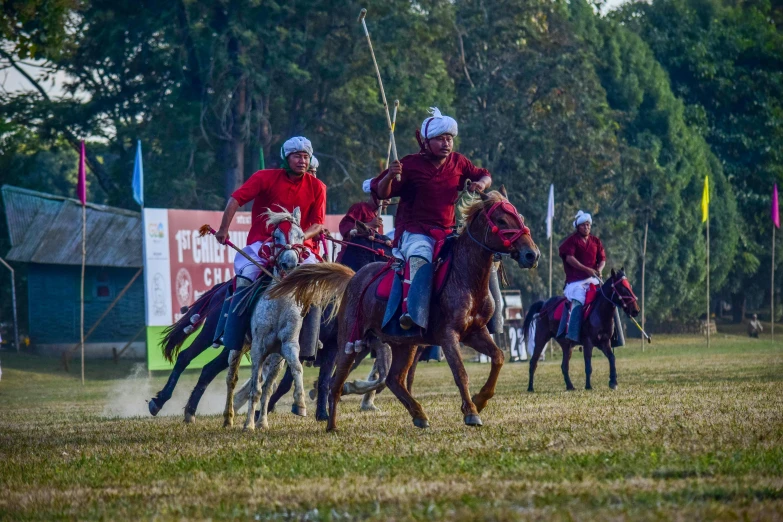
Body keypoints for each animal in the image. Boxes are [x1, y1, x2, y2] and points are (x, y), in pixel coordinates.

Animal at [270, 189, 540, 428]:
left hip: (403, 344)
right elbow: (460, 372)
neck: (464, 277)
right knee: (337, 381)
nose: (532, 254)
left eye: (518, 217)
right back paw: (331, 423)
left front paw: (480, 400)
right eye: (501, 219)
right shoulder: (448, 336)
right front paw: (471, 412)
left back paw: (417, 414)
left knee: (393, 379)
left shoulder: (475, 333)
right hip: (349, 342)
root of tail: (354, 278)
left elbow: (498, 357)